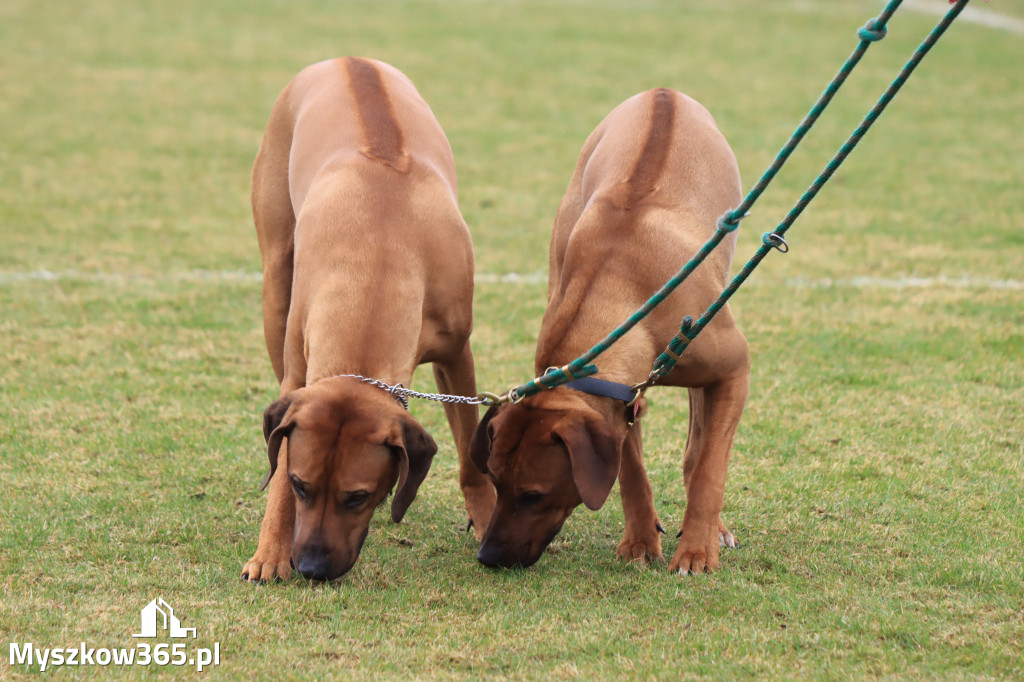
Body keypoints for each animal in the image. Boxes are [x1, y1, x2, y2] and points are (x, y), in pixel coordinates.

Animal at [241, 57, 493, 577]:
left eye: (357, 497)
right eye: (302, 486)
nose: (312, 568)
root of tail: (348, 59)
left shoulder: (456, 353)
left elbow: (469, 453)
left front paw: (487, 518)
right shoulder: (300, 366)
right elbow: (281, 453)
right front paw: (271, 548)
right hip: (276, 284)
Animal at [468, 87, 749, 569]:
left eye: (532, 494)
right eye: (495, 481)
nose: (489, 556)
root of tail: (663, 92)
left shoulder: (734, 370)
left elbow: (710, 469)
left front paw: (696, 549)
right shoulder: (622, 398)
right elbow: (630, 469)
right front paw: (639, 541)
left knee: (700, 442)